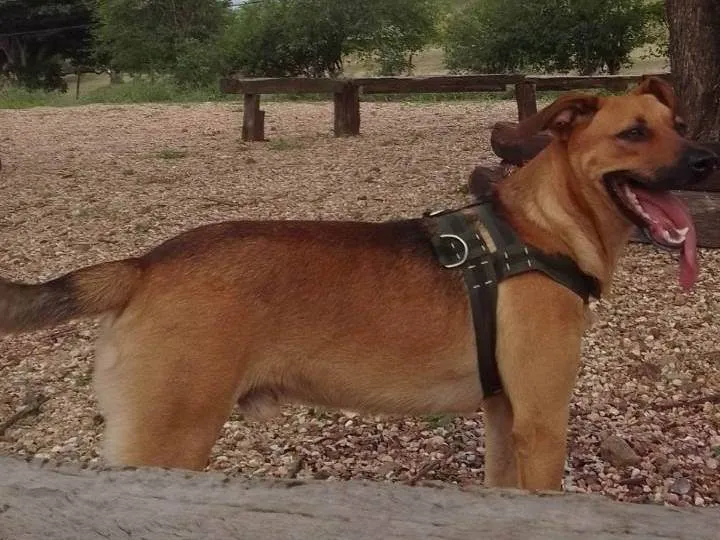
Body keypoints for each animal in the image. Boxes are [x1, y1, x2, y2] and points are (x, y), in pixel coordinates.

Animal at [0, 78, 716, 491]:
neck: (540, 228)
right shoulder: (542, 424)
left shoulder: (506, 417)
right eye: (633, 133)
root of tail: (144, 264)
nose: (707, 159)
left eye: (678, 127)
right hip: (166, 440)